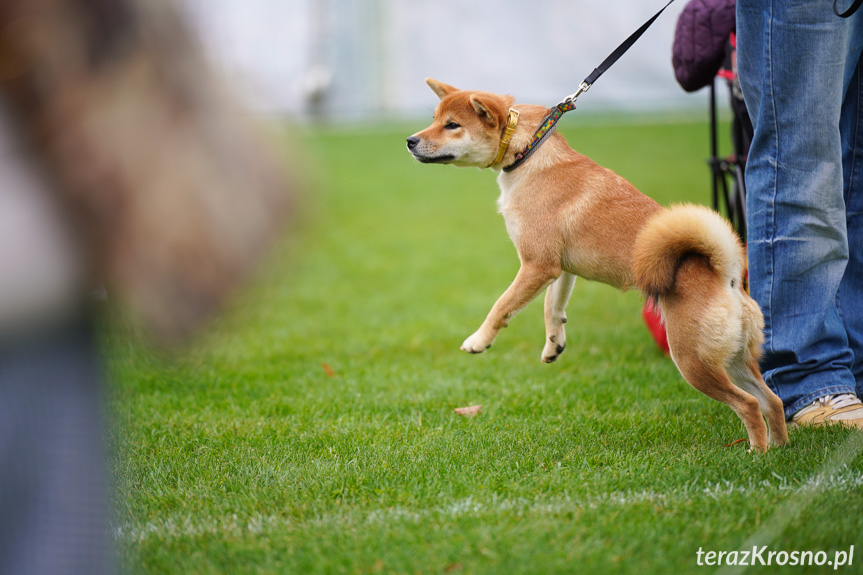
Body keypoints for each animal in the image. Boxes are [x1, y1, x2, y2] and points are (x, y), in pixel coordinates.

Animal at [404, 79, 788, 452]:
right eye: (435, 119)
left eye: (452, 125)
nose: (410, 141)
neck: (528, 152)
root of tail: (728, 277)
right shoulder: (560, 269)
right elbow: (552, 308)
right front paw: (554, 344)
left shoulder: (537, 265)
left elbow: (501, 306)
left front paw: (478, 340)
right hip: (734, 360)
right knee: (772, 401)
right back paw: (780, 448)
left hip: (693, 361)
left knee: (748, 404)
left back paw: (756, 452)